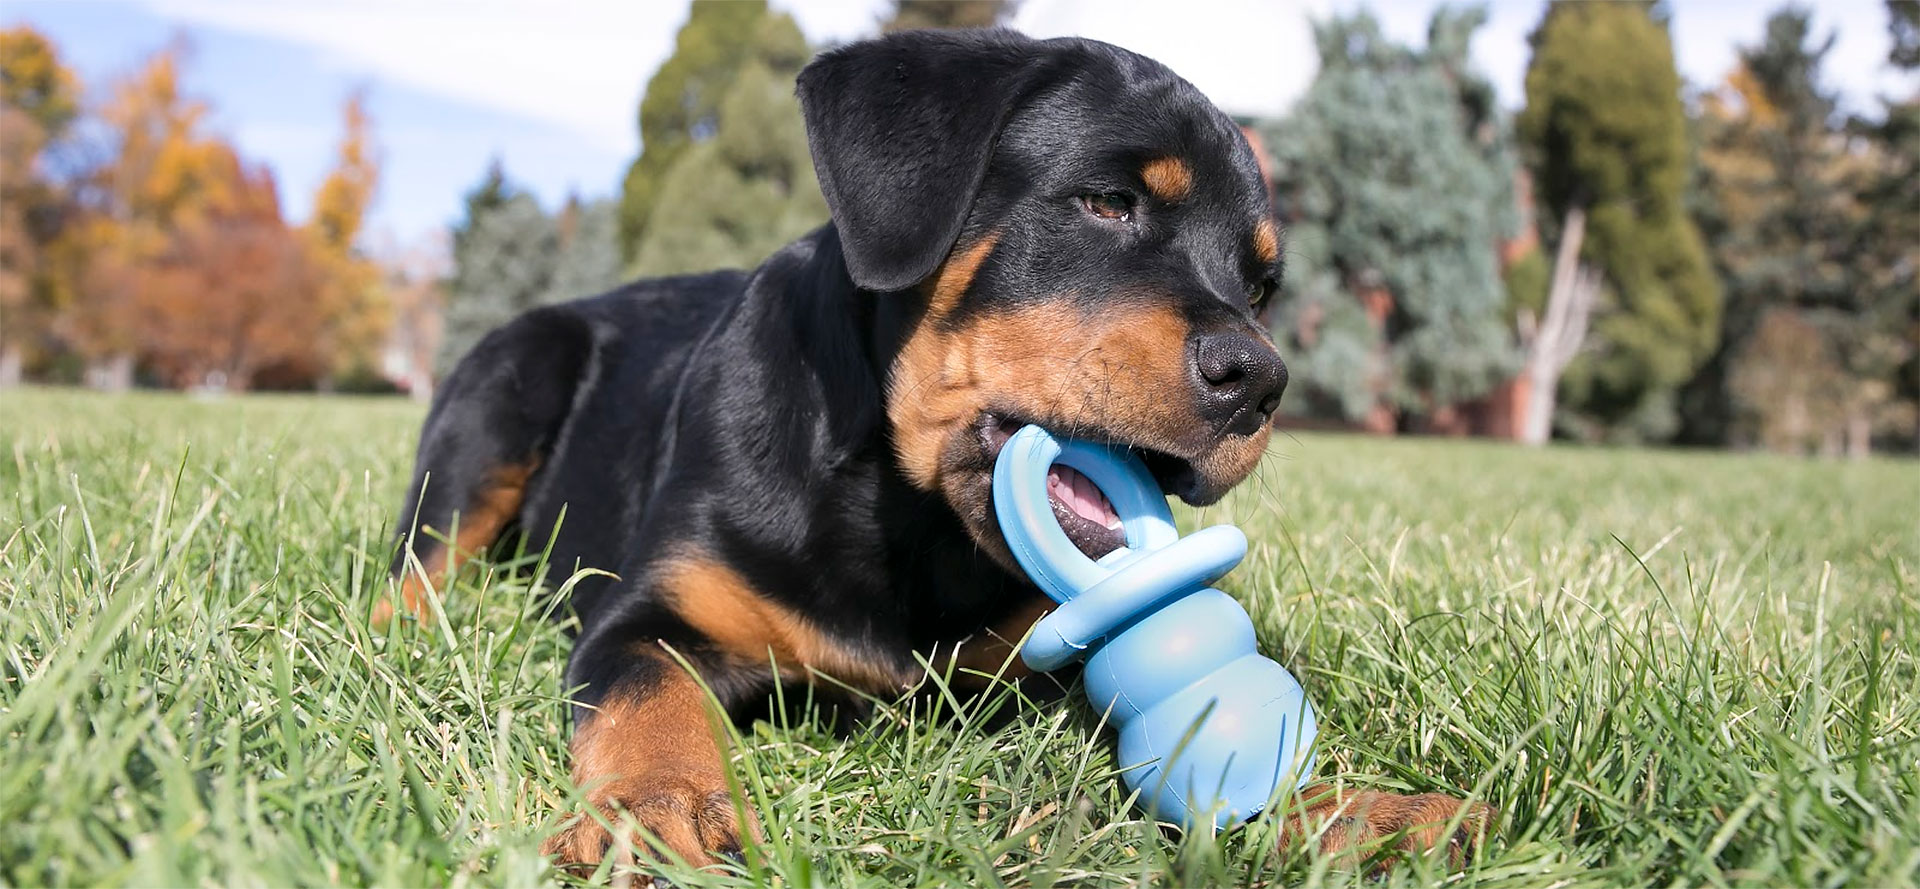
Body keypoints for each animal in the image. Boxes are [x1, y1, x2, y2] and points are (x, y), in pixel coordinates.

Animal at [385, 27, 1497, 875]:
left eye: (1261, 285)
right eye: (1108, 202)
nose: (1261, 380)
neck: (908, 521)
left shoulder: (1047, 660)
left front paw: (1368, 813)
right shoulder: (651, 613)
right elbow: (646, 699)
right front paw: (656, 810)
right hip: (505, 386)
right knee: (417, 567)